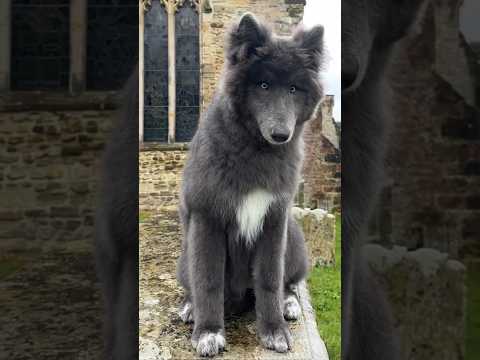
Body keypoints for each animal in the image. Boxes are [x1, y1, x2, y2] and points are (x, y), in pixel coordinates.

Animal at [174, 12, 324, 356]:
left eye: (294, 88)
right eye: (263, 85)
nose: (281, 134)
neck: (256, 151)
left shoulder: (274, 221)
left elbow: (270, 280)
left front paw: (274, 331)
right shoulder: (207, 220)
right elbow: (208, 280)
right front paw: (209, 332)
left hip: (294, 238)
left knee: (288, 283)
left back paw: (289, 303)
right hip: (185, 253)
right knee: (192, 284)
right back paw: (190, 307)